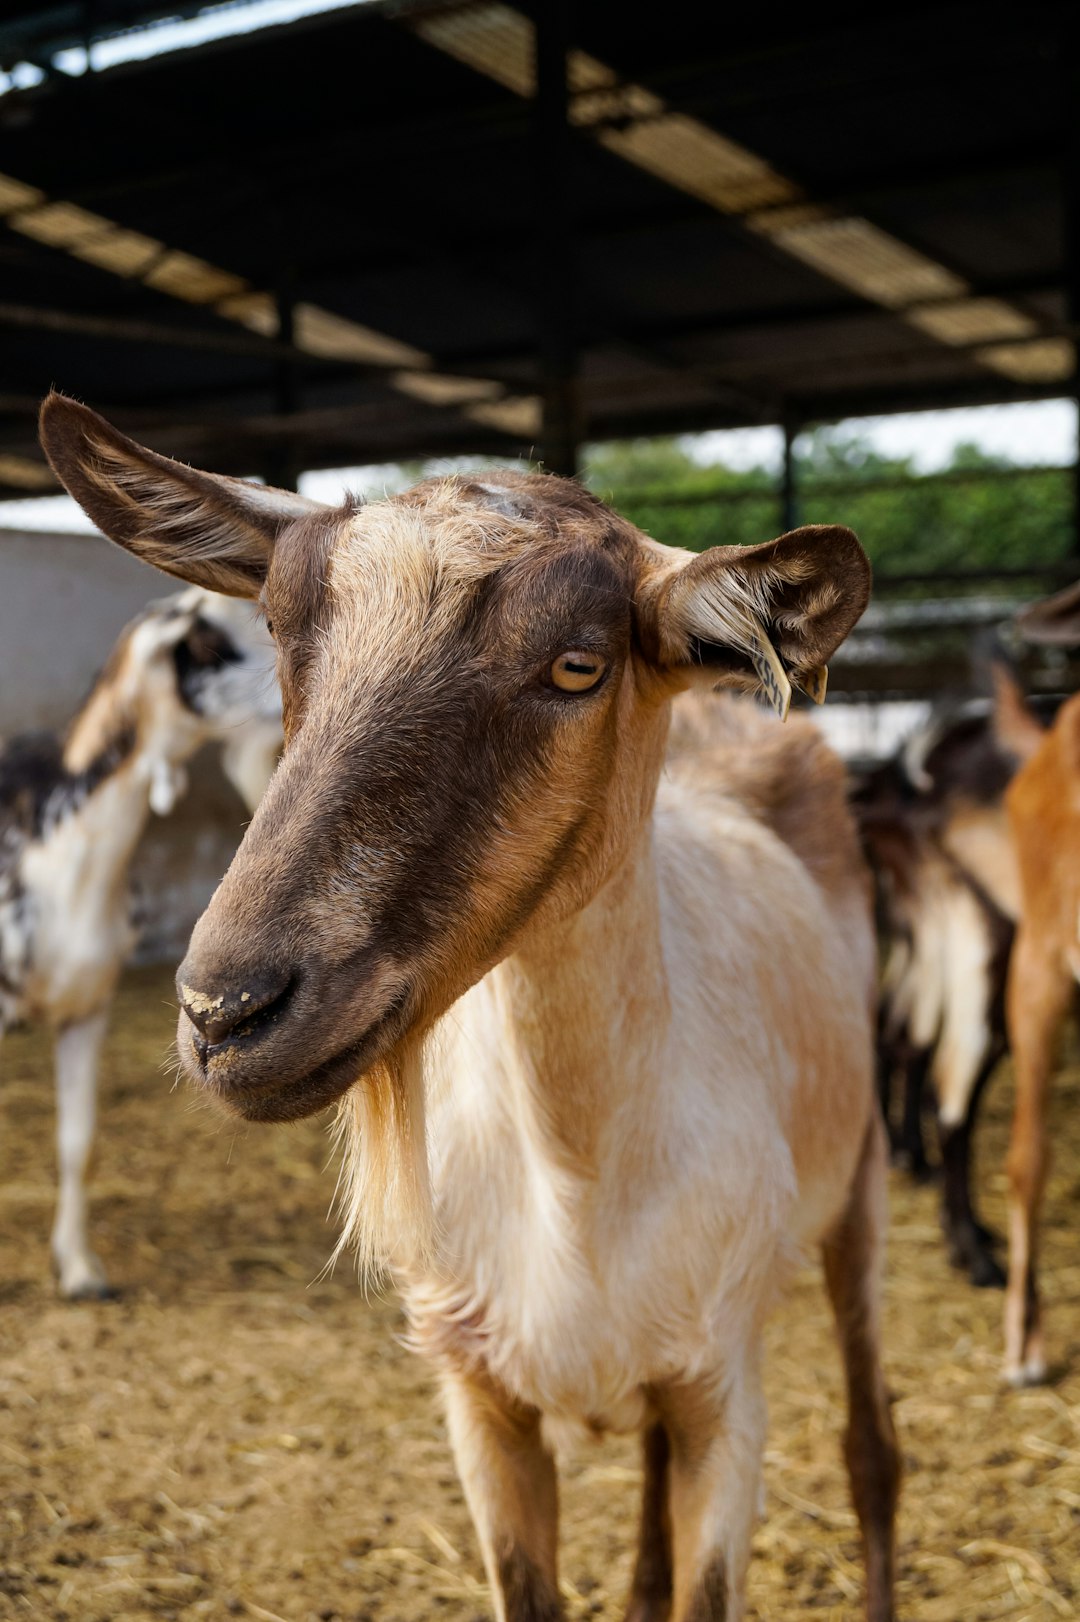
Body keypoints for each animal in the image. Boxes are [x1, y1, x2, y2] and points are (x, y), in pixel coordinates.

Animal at [44, 392, 901, 1622]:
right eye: (278, 632)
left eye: (579, 665)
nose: (226, 1011)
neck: (579, 1172)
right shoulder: (481, 1399)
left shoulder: (725, 1394)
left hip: (861, 1185)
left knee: (871, 1446)